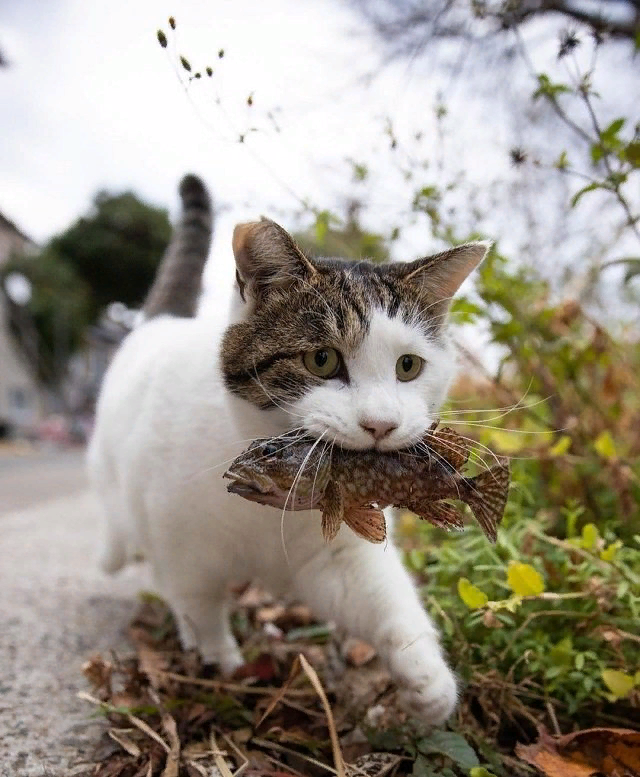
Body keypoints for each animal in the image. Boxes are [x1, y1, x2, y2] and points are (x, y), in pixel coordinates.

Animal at [89, 173, 490, 724]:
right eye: (321, 360)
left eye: (408, 367)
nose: (381, 424)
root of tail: (161, 323)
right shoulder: (184, 551)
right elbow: (199, 607)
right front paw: (222, 662)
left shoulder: (338, 553)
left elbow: (385, 599)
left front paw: (428, 681)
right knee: (117, 526)